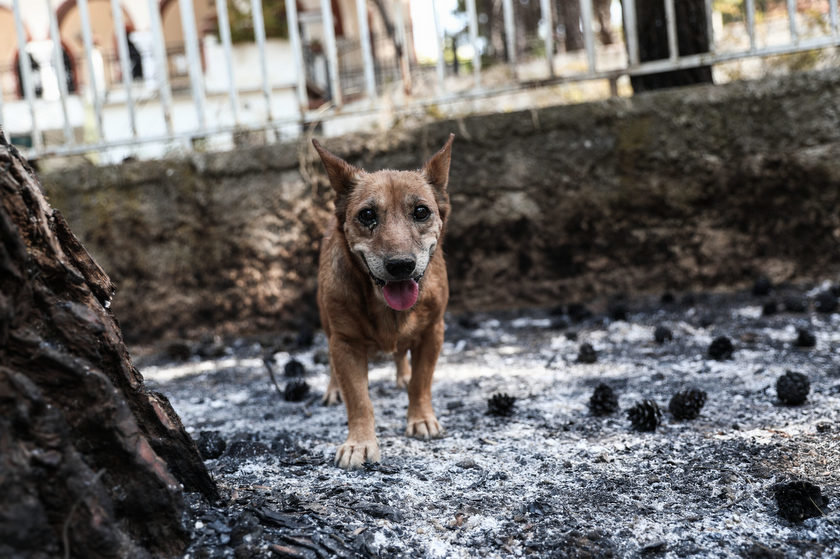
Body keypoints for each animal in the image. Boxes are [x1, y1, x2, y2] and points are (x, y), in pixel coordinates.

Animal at [312, 135, 452, 468]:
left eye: (421, 211)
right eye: (367, 215)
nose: (401, 265)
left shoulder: (433, 333)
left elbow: (421, 382)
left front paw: (420, 418)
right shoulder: (345, 343)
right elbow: (359, 399)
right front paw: (359, 443)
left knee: (402, 356)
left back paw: (402, 374)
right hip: (327, 322)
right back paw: (333, 389)